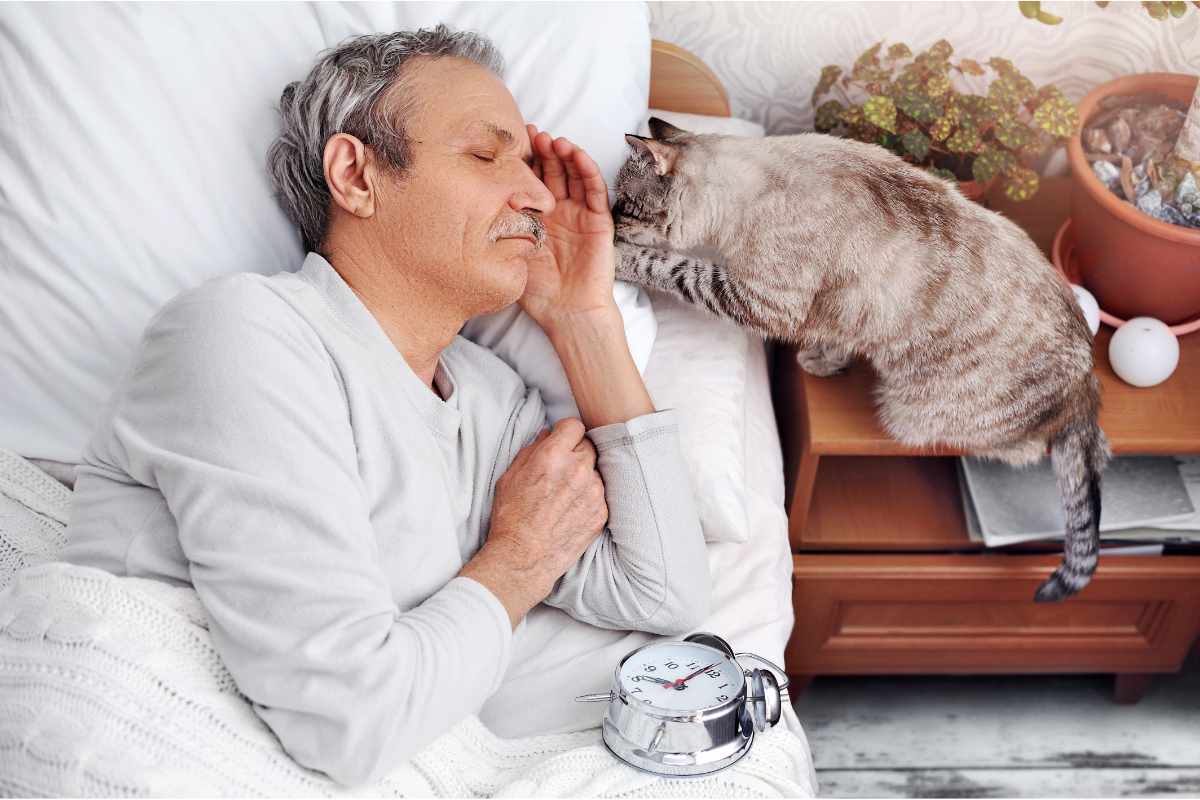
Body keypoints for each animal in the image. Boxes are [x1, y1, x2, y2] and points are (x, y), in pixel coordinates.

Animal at [614, 117, 1108, 599]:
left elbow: (671, 267)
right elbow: (838, 339)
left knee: (1035, 450)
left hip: (907, 413)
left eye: (623, 203)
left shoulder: (759, 301)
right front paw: (823, 363)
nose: (609, 218)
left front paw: (619, 259)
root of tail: (1086, 385)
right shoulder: (845, 313)